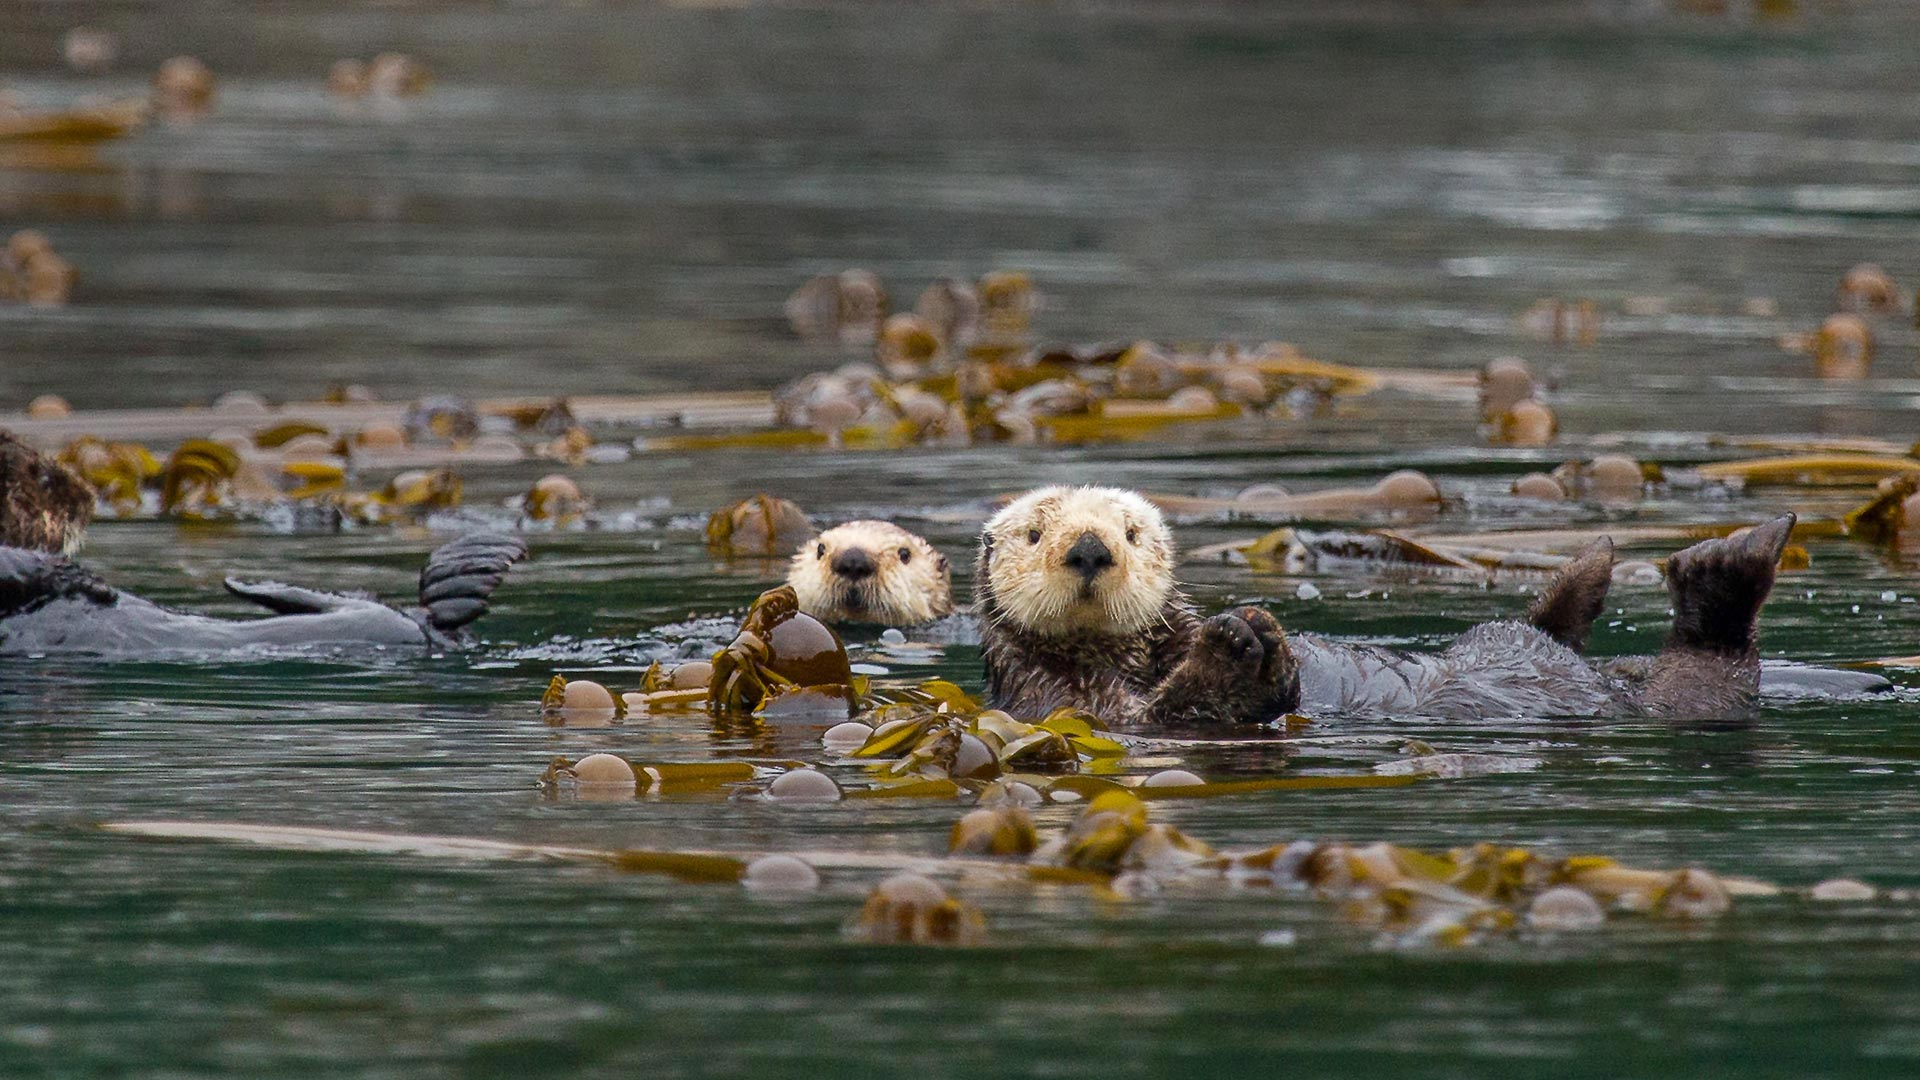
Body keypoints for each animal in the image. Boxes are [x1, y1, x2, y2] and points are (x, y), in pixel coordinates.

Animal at [977, 485, 1841, 725]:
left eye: (1130, 531)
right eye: (1034, 532)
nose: (1091, 549)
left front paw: (1238, 637)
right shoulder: (1060, 699)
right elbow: (1164, 713)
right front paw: (1240, 650)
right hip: (1679, 690)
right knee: (1710, 669)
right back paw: (1724, 563)